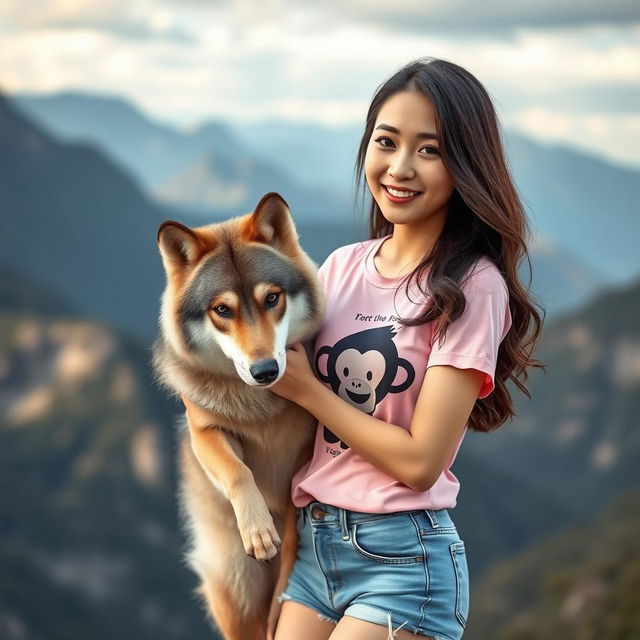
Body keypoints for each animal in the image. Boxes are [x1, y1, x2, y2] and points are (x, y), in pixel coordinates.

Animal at [152, 194, 324, 640]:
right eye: (222, 310)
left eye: (271, 299)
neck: (259, 405)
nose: (265, 370)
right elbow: (238, 472)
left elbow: (293, 537)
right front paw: (258, 531)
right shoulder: (205, 430)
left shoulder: (308, 449)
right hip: (234, 589)